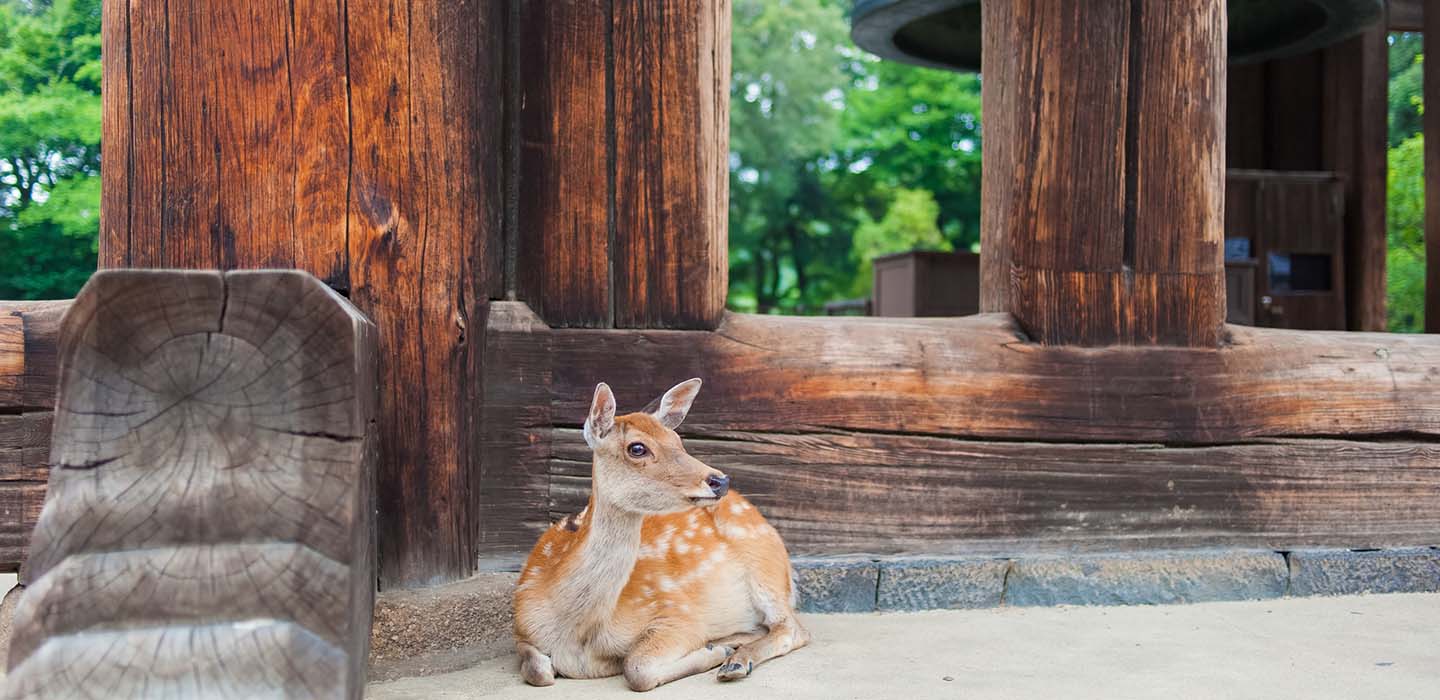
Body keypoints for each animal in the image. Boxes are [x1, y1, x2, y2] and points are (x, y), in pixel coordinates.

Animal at [509, 380, 806, 691]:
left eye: (677, 440)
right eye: (637, 448)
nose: (719, 480)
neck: (578, 634)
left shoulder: (677, 614)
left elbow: (636, 668)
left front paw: (713, 652)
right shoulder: (522, 628)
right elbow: (537, 670)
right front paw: (716, 648)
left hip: (765, 566)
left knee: (791, 628)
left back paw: (735, 661)